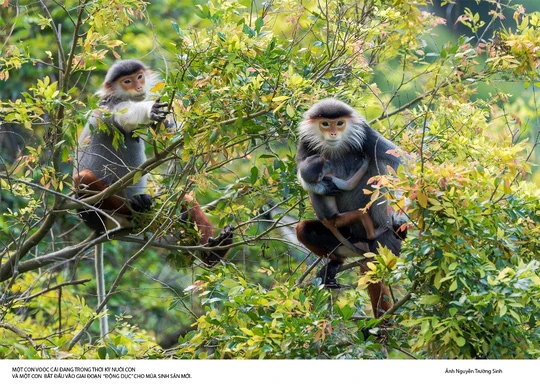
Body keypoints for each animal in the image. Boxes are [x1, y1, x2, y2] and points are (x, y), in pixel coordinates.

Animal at [296, 99, 404, 318]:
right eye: (325, 124)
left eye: (340, 123)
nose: (333, 134)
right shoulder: (305, 142)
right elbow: (302, 173)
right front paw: (320, 187)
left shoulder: (367, 135)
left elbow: (400, 162)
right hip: (347, 237)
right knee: (304, 229)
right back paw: (335, 263)